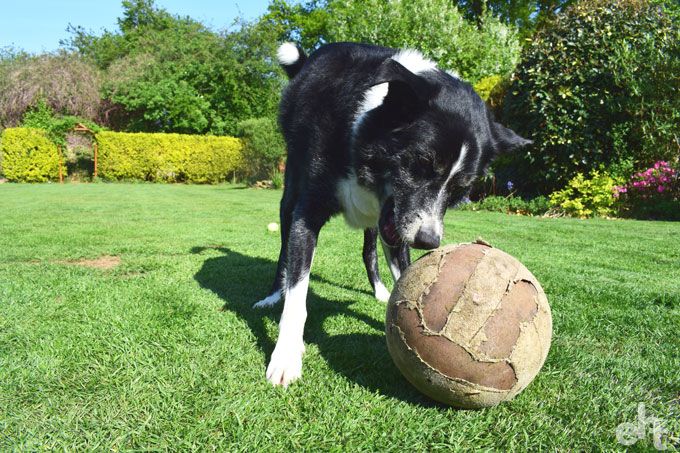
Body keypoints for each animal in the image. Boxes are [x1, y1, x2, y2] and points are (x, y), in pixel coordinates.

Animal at [255, 43, 532, 384]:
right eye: (421, 164)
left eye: (459, 189)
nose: (428, 242)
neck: (362, 128)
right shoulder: (308, 213)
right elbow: (298, 293)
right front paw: (286, 356)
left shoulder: (399, 224)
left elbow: (403, 272)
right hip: (290, 190)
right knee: (285, 246)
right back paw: (272, 296)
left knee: (369, 252)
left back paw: (378, 290)